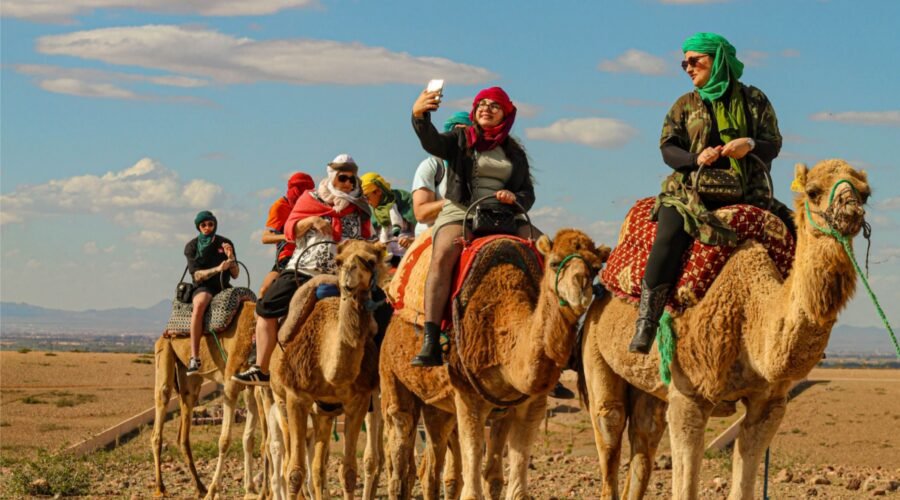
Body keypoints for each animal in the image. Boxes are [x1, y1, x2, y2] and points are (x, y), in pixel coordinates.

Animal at [152, 299, 261, 499]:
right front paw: (214, 490)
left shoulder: (251, 385)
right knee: (160, 415)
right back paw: (161, 487)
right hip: (164, 352)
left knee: (184, 433)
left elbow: (249, 439)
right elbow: (224, 441)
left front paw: (250, 489)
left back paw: (199, 487)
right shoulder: (230, 383)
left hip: (190, 379)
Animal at [267, 239, 391, 500]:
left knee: (318, 467)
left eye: (371, 260)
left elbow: (349, 471)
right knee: (287, 462)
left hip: (324, 413)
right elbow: (295, 472)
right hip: (280, 401)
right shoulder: (296, 397)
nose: (349, 278)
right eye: (339, 260)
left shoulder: (359, 400)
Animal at [381, 228, 610, 500]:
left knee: (431, 466)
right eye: (554, 263)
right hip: (392, 377)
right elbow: (472, 490)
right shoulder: (468, 397)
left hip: (438, 407)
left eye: (595, 268)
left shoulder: (527, 405)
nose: (581, 287)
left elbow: (501, 481)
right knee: (400, 449)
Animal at [578, 159, 871, 499]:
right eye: (813, 191)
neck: (750, 314)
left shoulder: (770, 404)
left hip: (649, 387)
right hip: (595, 348)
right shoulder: (689, 396)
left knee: (644, 435)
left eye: (865, 193)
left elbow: (742, 487)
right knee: (609, 424)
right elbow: (685, 490)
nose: (851, 211)